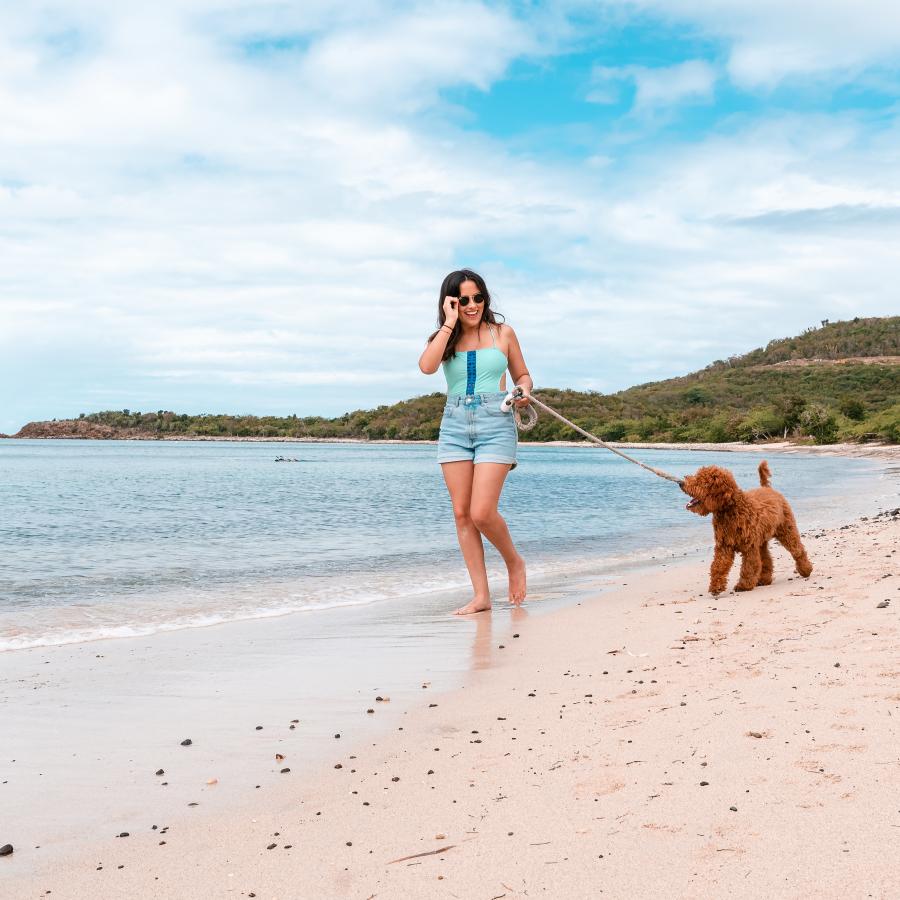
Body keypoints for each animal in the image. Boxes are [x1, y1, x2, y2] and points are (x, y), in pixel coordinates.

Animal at [680, 460, 812, 596]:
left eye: (701, 481)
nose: (680, 483)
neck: (730, 510)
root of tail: (767, 488)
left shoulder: (749, 546)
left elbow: (749, 566)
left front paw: (744, 586)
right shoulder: (724, 546)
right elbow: (718, 566)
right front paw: (716, 587)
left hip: (786, 530)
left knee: (797, 550)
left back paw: (806, 570)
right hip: (761, 541)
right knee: (766, 559)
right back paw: (765, 579)